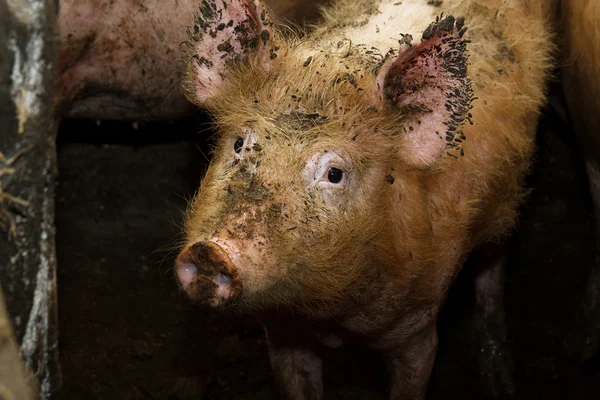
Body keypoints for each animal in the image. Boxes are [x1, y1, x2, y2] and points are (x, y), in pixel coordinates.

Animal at [173, 0, 552, 398]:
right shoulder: (281, 331)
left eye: (334, 174)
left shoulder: (417, 327)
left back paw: (501, 380)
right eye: (240, 144)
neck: (333, 320)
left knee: (494, 266)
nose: (211, 252)